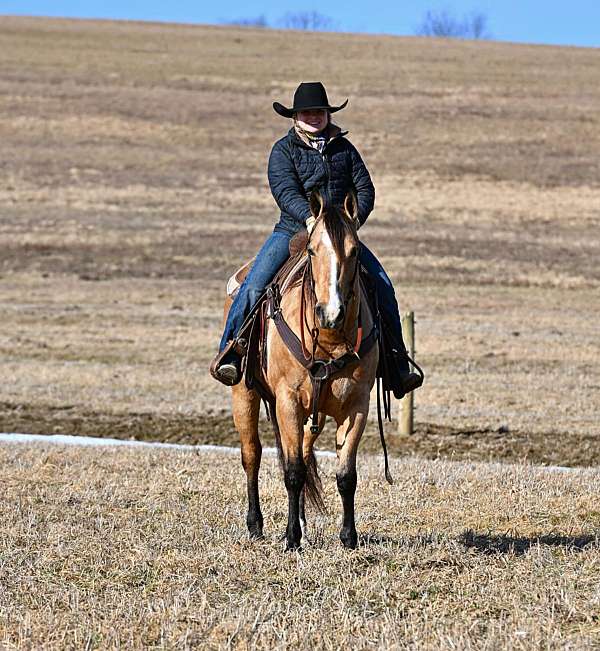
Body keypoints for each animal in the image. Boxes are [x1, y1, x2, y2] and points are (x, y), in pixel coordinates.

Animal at [224, 190, 384, 552]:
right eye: (313, 250)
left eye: (354, 250)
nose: (331, 312)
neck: (328, 340)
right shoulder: (288, 401)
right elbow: (293, 472)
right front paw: (292, 540)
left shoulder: (356, 406)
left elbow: (345, 475)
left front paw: (348, 538)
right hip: (245, 393)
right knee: (252, 454)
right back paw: (256, 526)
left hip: (314, 414)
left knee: (305, 452)